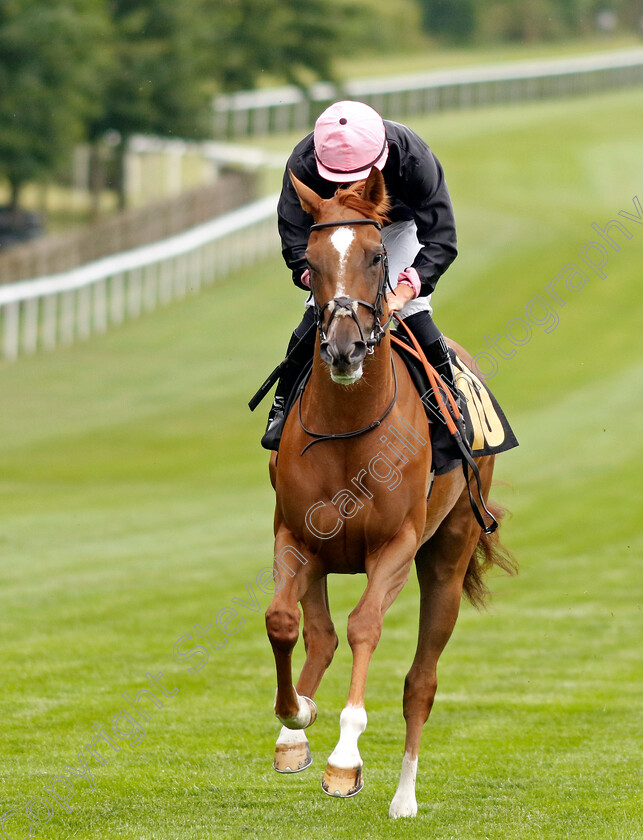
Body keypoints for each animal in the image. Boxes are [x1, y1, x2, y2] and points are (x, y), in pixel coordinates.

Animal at [264, 167, 516, 816]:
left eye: (377, 256)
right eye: (311, 261)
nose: (343, 347)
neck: (351, 428)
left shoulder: (396, 547)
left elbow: (365, 627)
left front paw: (344, 760)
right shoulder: (297, 534)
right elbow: (284, 621)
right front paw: (296, 717)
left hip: (447, 554)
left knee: (420, 681)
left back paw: (404, 798)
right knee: (320, 635)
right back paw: (295, 734)